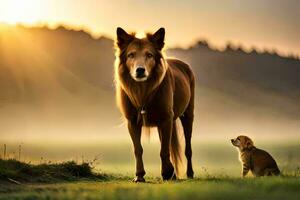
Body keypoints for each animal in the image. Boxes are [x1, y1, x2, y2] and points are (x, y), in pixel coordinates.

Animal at [114, 27, 195, 182]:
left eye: (149, 55)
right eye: (131, 55)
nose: (140, 70)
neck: (143, 90)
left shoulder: (166, 119)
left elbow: (164, 150)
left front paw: (167, 173)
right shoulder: (132, 121)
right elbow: (138, 149)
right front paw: (139, 175)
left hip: (188, 115)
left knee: (188, 148)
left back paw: (189, 173)